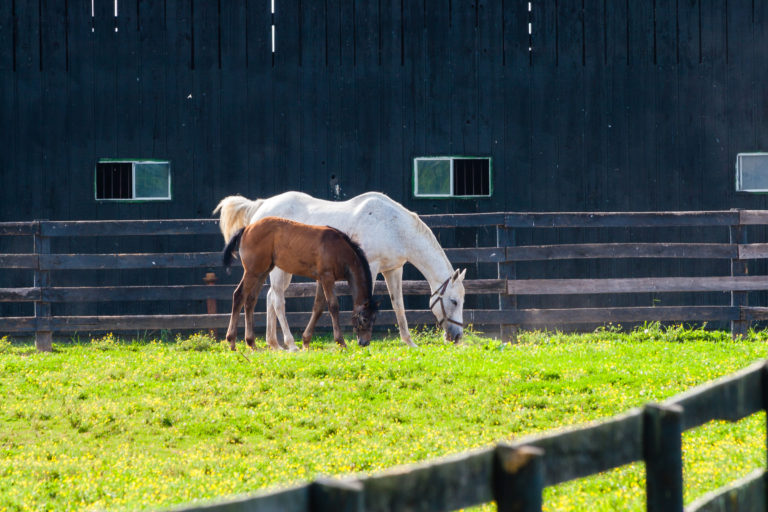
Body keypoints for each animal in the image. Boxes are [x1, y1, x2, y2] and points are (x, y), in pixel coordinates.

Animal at [222, 216, 378, 351]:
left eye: (374, 319)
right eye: (364, 319)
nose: (365, 342)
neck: (339, 249)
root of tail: (246, 228)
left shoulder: (321, 279)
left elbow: (318, 307)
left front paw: (306, 341)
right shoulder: (327, 277)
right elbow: (333, 306)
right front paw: (341, 342)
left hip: (263, 271)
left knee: (250, 300)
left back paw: (251, 343)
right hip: (252, 271)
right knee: (239, 295)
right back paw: (232, 342)